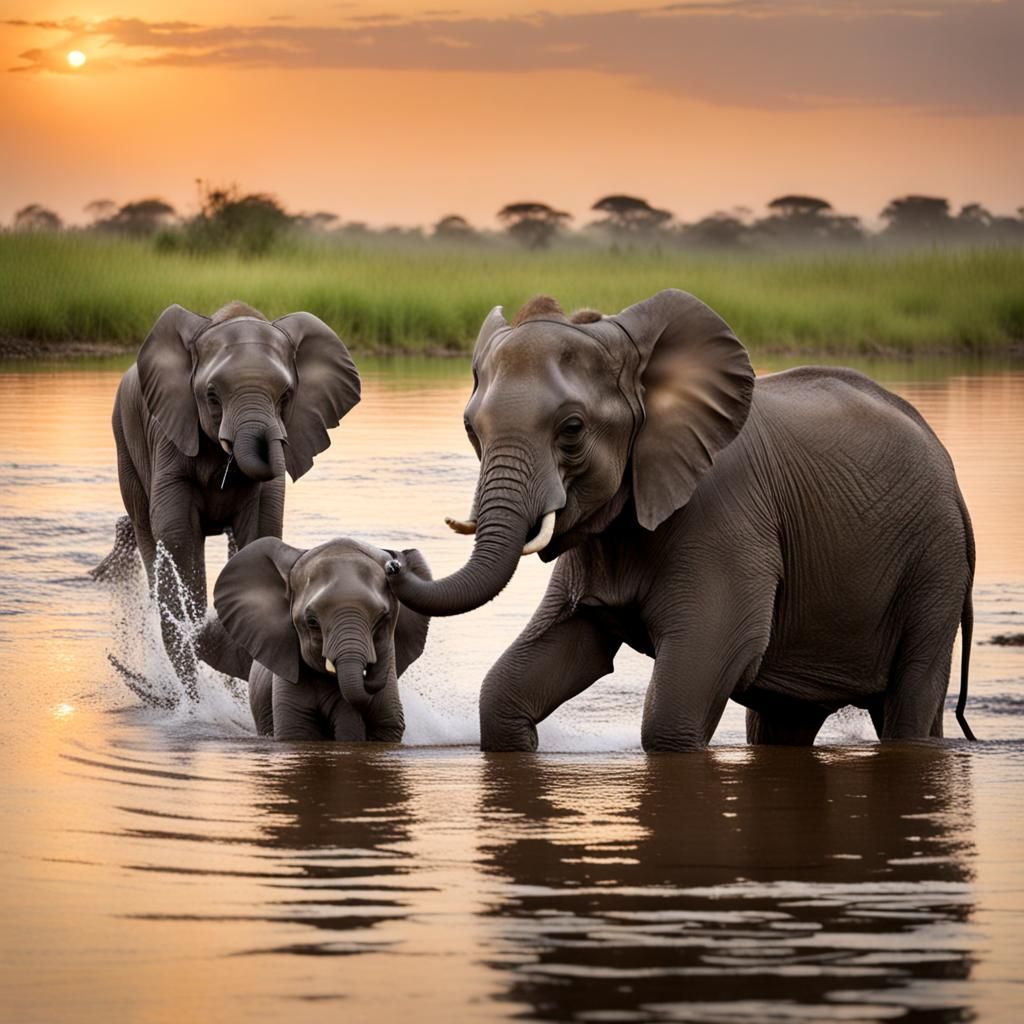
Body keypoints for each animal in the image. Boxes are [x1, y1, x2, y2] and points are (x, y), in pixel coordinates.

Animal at [93, 301, 361, 696]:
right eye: (211, 396)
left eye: (286, 396)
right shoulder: (169, 435)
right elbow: (177, 537)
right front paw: (198, 698)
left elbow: (259, 532)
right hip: (124, 438)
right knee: (147, 533)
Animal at [384, 289, 976, 752]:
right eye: (471, 428)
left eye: (572, 429)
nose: (393, 561)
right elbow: (525, 678)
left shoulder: (728, 516)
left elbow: (687, 695)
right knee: (785, 719)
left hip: (937, 564)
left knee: (910, 699)